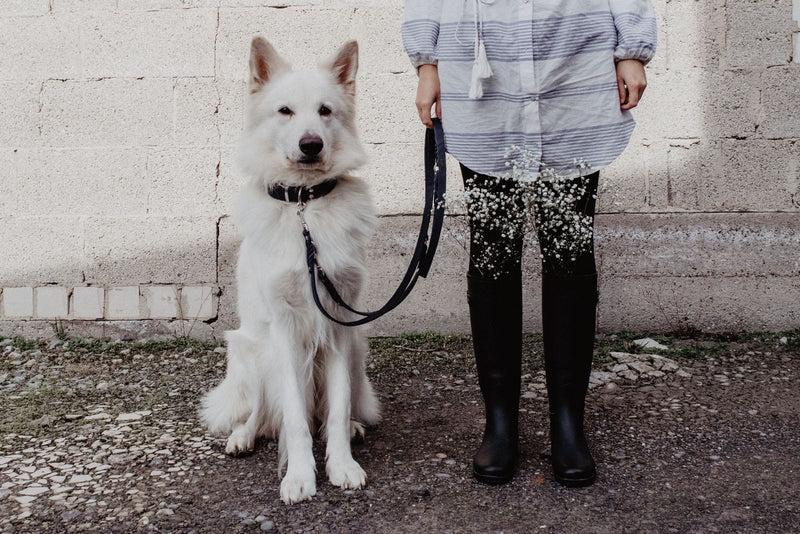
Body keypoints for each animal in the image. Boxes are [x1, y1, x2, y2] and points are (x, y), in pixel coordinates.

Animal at [203, 37, 384, 506]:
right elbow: (296, 422)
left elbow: (335, 411)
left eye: (325, 111)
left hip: (356, 350)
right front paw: (301, 476)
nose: (311, 145)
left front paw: (341, 466)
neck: (305, 205)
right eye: (284, 111)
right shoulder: (284, 333)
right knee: (262, 411)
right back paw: (243, 435)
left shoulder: (337, 326)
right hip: (252, 351)